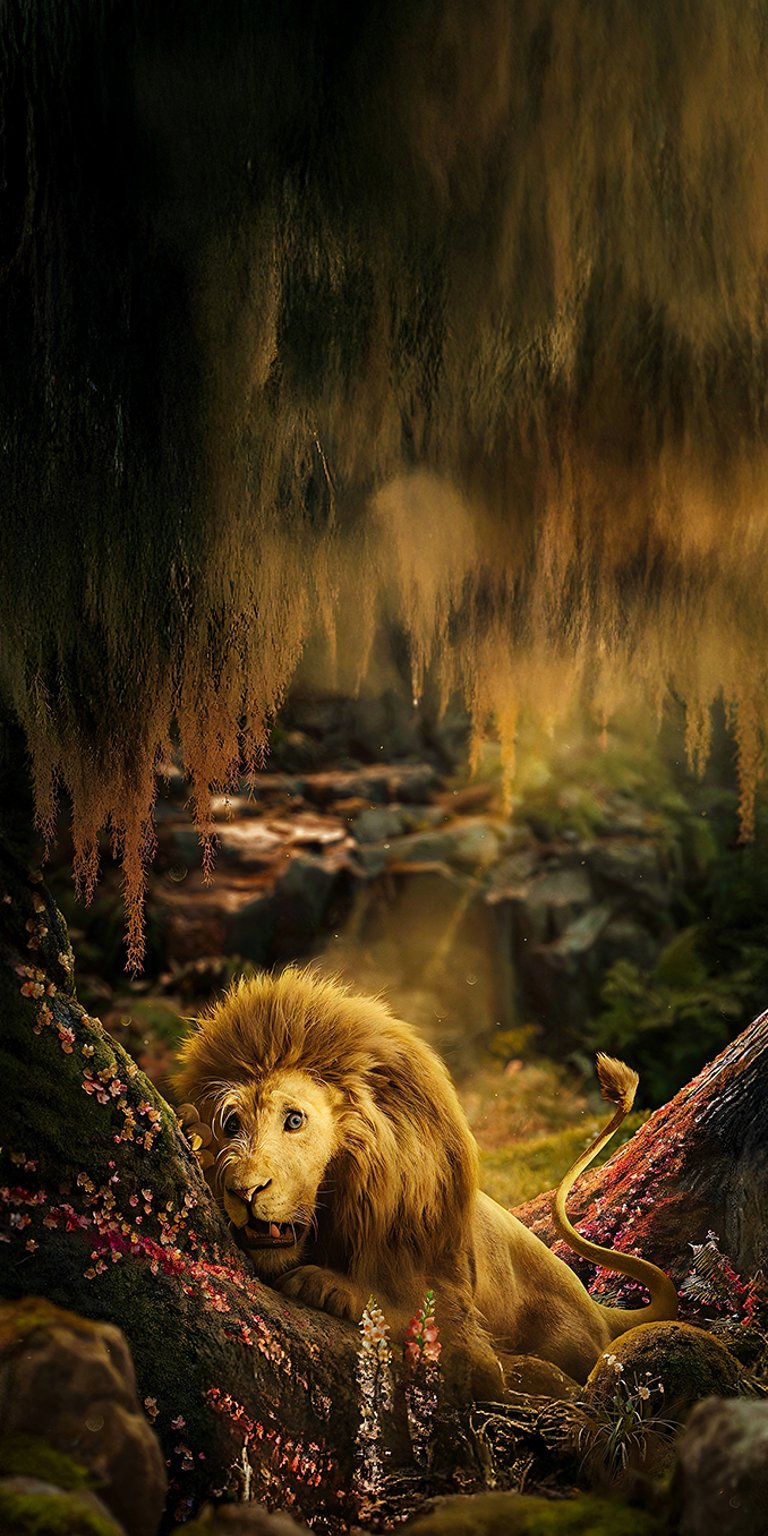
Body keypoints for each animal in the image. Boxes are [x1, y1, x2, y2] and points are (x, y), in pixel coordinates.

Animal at [173, 968, 677, 1398]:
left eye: (294, 1119)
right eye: (231, 1124)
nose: (244, 1190)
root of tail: (594, 1307)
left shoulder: (449, 1288)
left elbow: (417, 1313)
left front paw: (329, 1285)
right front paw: (192, 1132)